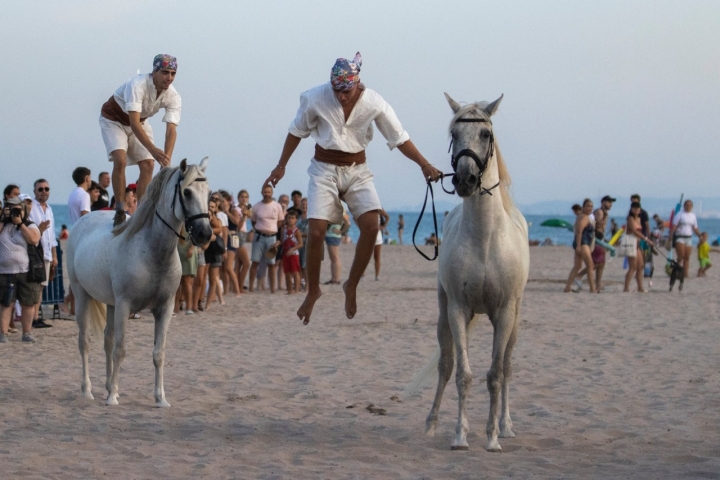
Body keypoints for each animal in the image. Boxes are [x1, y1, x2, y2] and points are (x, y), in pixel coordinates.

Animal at [66, 158, 212, 407]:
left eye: (208, 192)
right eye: (187, 192)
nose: (204, 233)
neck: (152, 251)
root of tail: (82, 221)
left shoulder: (165, 308)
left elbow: (158, 353)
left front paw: (160, 398)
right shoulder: (125, 305)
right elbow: (121, 350)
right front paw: (113, 398)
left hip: (110, 303)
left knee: (107, 339)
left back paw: (107, 386)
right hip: (82, 294)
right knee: (84, 342)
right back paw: (89, 390)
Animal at [411, 94, 529, 451]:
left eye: (486, 134)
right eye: (454, 133)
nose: (465, 180)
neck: (485, 239)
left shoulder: (504, 313)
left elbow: (496, 375)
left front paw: (492, 438)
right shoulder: (458, 310)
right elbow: (462, 374)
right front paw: (460, 436)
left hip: (514, 319)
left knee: (507, 367)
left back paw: (505, 425)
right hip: (444, 315)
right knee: (446, 366)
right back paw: (432, 423)